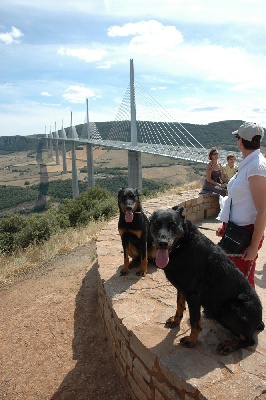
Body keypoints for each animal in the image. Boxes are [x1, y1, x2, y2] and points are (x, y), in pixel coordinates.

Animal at [150, 205, 264, 354]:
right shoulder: (182, 289)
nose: (162, 243)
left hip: (232, 307)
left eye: (173, 225)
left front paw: (192, 341)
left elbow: (194, 321)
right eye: (156, 223)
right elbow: (179, 306)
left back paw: (229, 345)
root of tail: (260, 320)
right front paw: (176, 321)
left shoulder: (193, 295)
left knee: (249, 340)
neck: (183, 245)